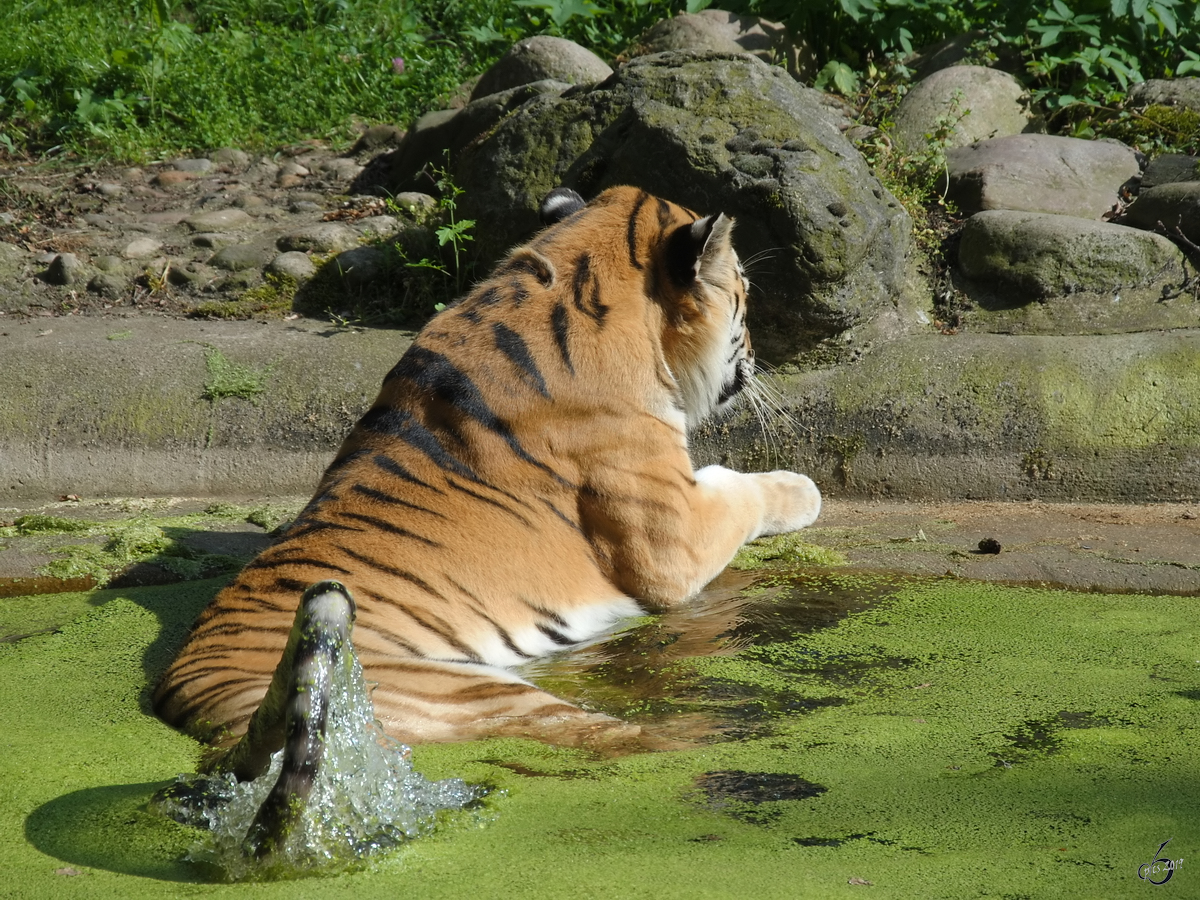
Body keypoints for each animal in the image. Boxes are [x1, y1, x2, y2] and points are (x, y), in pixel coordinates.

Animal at [154, 188, 820, 782]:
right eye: (744, 296)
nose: (758, 355)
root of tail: (205, 709)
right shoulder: (673, 546)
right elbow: (742, 488)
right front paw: (804, 489)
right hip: (476, 693)